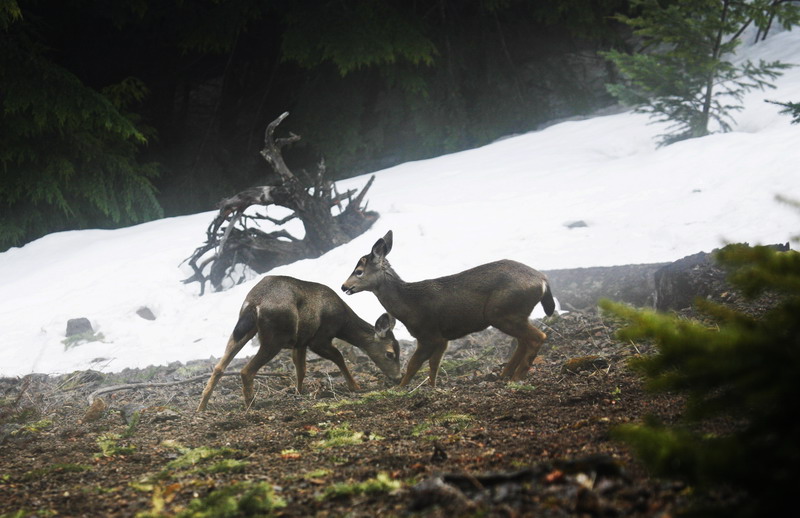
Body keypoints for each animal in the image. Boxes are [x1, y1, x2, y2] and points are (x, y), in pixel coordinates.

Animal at [196, 276, 400, 414]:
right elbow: (339, 357)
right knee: (246, 370)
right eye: (390, 353)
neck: (343, 323)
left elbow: (301, 368)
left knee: (219, 367)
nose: (398, 378)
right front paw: (355, 387)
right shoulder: (319, 339)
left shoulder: (301, 342)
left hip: (244, 330)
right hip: (274, 337)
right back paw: (251, 405)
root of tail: (254, 303)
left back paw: (202, 407)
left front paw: (298, 392)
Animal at [340, 234, 556, 388]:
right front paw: (432, 386)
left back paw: (516, 377)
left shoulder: (428, 334)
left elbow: (414, 364)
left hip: (502, 313)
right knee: (523, 340)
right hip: (514, 314)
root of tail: (543, 281)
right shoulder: (442, 338)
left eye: (359, 271)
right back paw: (505, 375)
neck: (409, 304)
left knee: (537, 337)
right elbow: (435, 364)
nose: (343, 286)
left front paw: (400, 388)